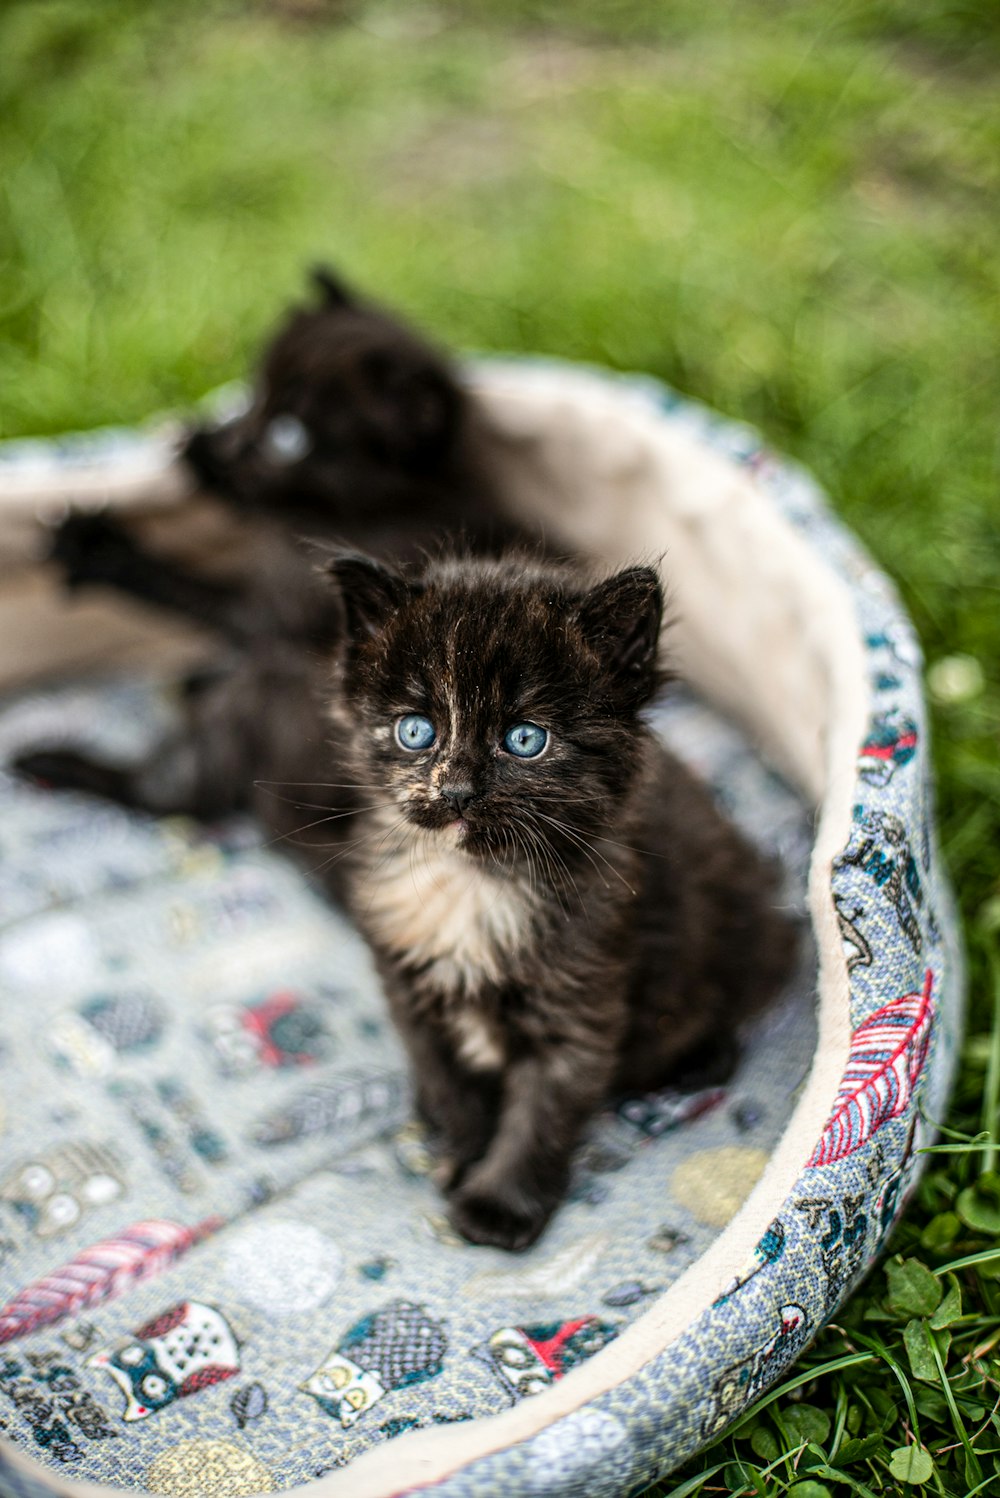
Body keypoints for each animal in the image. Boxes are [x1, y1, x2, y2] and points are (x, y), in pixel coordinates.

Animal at [15, 551, 796, 1252]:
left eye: (525, 739)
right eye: (416, 731)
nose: (454, 791)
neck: (471, 884)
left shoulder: (582, 999)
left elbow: (542, 1112)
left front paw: (497, 1204)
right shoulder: (406, 985)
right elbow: (449, 1081)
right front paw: (462, 1151)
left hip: (746, 931)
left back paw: (701, 1059)